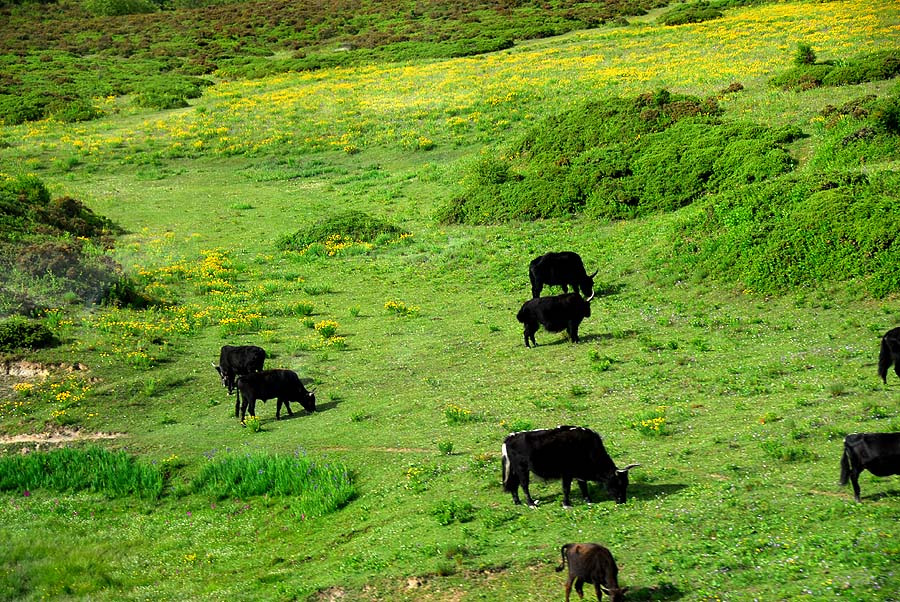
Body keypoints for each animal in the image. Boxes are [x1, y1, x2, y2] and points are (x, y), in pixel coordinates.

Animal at [500, 422, 640, 506]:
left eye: (626, 483)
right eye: (618, 483)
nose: (622, 501)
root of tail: (510, 437)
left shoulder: (580, 473)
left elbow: (583, 486)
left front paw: (588, 500)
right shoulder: (567, 473)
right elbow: (566, 488)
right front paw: (567, 504)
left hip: (514, 470)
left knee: (514, 485)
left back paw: (517, 502)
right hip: (522, 469)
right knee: (524, 485)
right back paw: (531, 504)